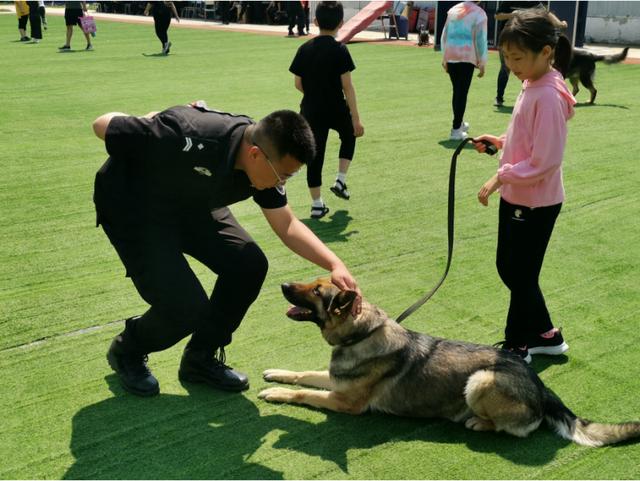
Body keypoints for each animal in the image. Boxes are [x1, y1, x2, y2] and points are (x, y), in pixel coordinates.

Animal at [258, 278, 640, 446]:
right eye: (313, 280)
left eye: (317, 291)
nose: (283, 283)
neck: (362, 334)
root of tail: (542, 387)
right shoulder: (336, 380)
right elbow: (303, 374)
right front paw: (276, 374)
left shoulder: (344, 401)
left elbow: (304, 394)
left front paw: (276, 395)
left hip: (481, 379)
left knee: (513, 429)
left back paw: (477, 423)